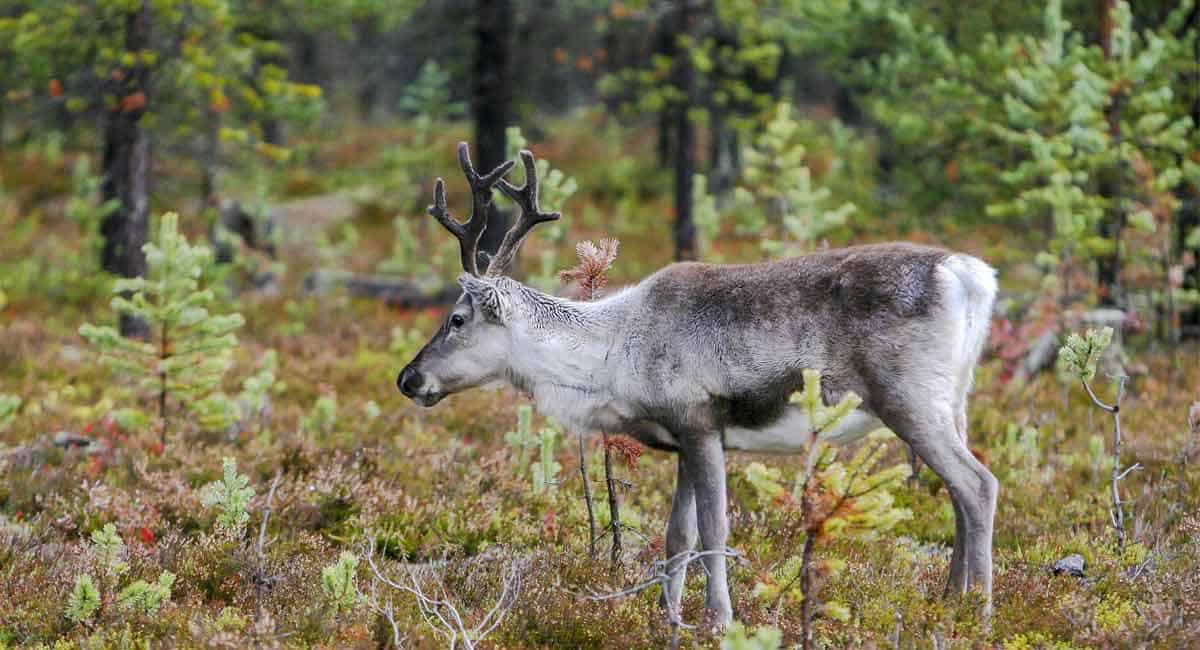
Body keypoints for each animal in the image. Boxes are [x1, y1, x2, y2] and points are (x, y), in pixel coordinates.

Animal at [397, 142, 999, 629]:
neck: (615, 353)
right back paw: (948, 601)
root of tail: (972, 275)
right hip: (955, 399)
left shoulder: (701, 423)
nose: (408, 378)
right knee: (958, 491)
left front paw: (717, 619)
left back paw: (981, 612)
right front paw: (668, 617)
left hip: (910, 398)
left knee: (978, 484)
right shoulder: (682, 439)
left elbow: (715, 531)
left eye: (457, 319)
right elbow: (677, 537)